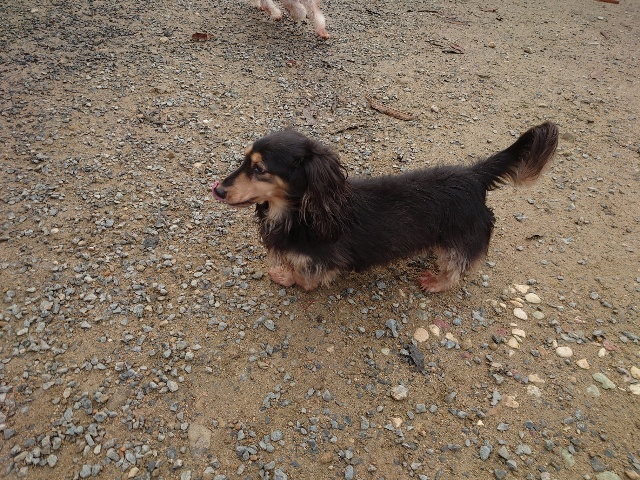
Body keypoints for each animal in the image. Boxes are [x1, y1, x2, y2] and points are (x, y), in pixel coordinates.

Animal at [212, 122, 558, 292]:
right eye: (244, 161)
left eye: (260, 169)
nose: (217, 190)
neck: (301, 213)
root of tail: (474, 175)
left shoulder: (322, 261)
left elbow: (305, 278)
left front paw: (288, 279)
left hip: (461, 236)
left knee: (459, 266)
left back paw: (437, 283)